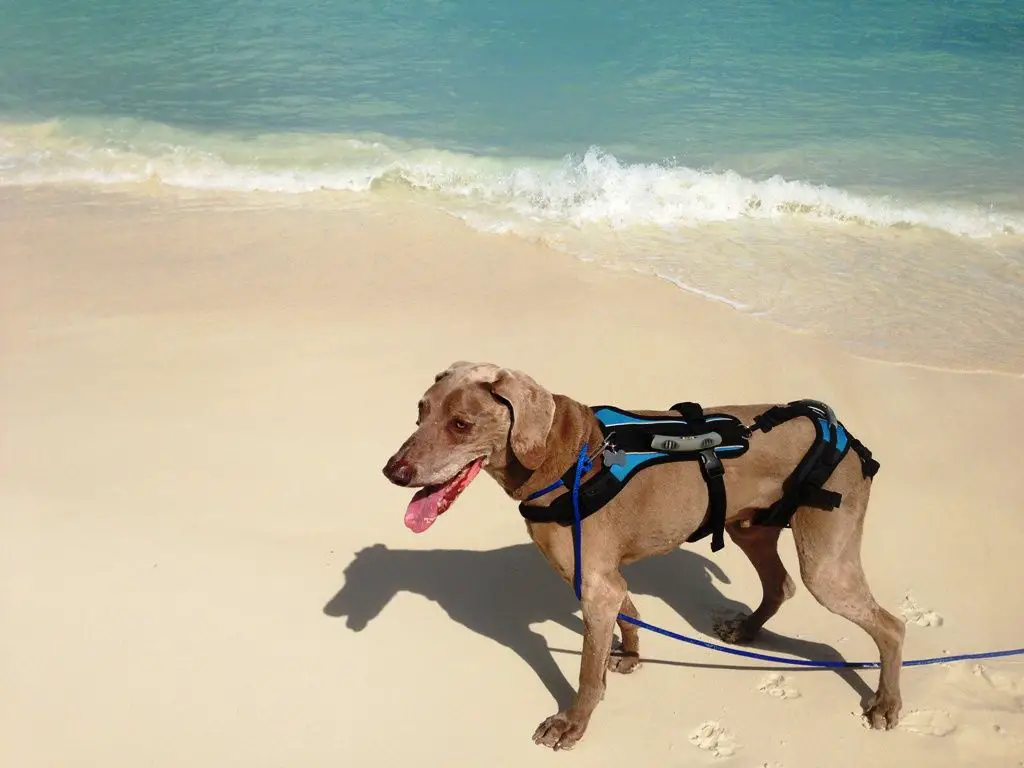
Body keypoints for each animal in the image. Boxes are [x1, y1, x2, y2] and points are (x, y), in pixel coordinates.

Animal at [382, 362, 905, 753]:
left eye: (461, 424)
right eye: (419, 412)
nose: (392, 471)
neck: (566, 456)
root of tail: (845, 434)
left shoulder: (596, 585)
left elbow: (586, 672)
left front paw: (572, 725)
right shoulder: (601, 578)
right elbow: (628, 612)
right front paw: (631, 656)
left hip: (826, 562)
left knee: (891, 626)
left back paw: (885, 703)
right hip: (749, 527)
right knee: (780, 584)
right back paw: (746, 631)